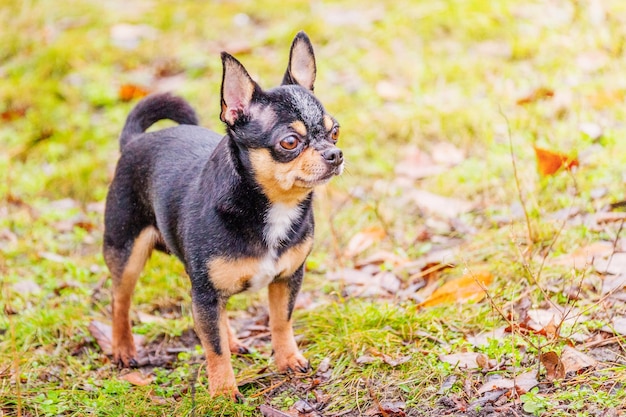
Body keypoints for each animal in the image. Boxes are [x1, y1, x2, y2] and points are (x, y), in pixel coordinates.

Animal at [102, 31, 342, 396]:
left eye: (335, 131)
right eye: (289, 142)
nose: (335, 154)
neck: (271, 206)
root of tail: (134, 140)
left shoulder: (286, 279)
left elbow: (280, 321)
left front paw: (288, 359)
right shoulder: (205, 293)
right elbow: (213, 349)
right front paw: (224, 394)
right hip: (126, 252)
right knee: (120, 300)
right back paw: (123, 348)